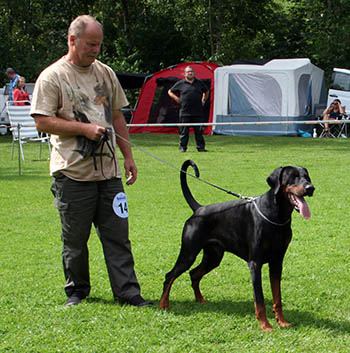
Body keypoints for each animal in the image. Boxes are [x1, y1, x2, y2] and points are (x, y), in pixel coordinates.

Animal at [159, 160, 314, 330]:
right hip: (189, 253)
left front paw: (282, 321)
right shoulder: (255, 264)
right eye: (293, 176)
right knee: (170, 276)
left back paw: (200, 300)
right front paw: (265, 325)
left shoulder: (277, 262)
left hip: (213, 257)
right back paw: (163, 305)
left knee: (194, 273)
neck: (277, 215)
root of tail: (199, 209)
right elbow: (259, 300)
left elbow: (277, 297)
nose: (310, 188)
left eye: (307, 177)